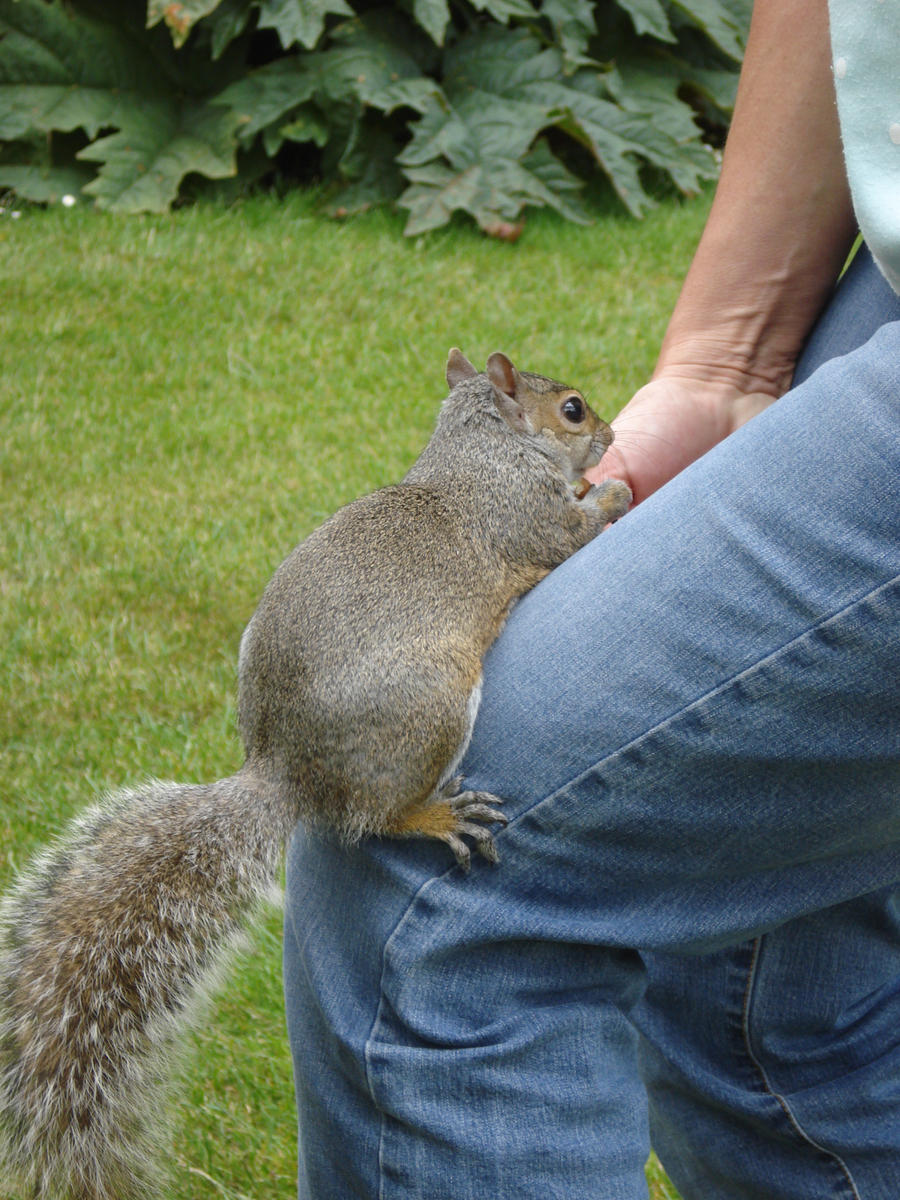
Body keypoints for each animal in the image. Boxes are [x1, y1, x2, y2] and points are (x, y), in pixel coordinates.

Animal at [0, 350, 628, 1200]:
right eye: (571, 409)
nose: (613, 434)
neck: (482, 452)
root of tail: (285, 773)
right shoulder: (527, 520)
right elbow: (575, 530)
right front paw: (617, 488)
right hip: (432, 707)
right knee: (374, 818)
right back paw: (437, 817)